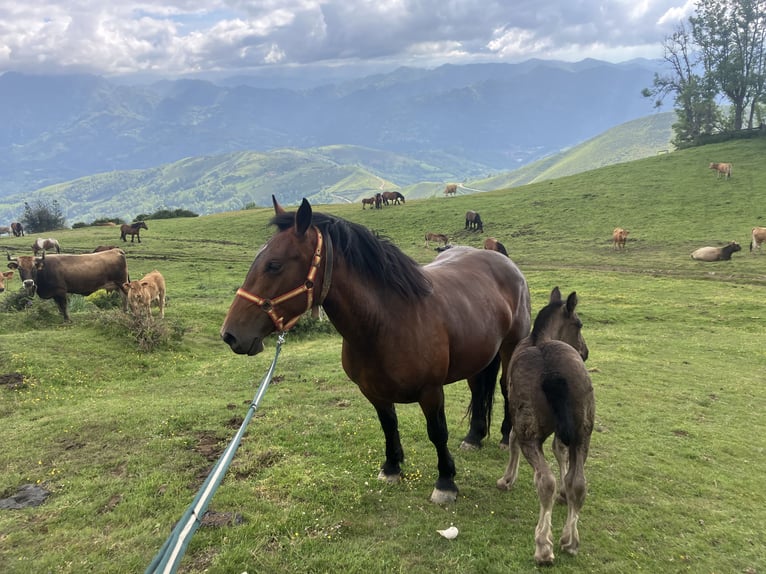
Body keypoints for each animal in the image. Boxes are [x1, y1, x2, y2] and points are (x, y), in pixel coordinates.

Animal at [222, 197, 536, 504]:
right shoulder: (373, 391)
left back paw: (506, 436)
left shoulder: (431, 392)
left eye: (274, 265)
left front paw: (446, 481)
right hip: (477, 357)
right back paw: (474, 436)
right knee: (478, 389)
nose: (230, 335)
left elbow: (437, 432)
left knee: (506, 388)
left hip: (511, 347)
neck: (387, 321)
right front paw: (392, 467)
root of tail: (503, 260)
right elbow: (389, 425)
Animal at [496, 288, 596, 568]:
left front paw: (507, 479)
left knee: (545, 481)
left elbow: (512, 440)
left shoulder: (517, 415)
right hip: (583, 433)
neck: (539, 338)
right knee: (579, 482)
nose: (585, 351)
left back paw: (543, 546)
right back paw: (570, 540)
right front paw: (563, 493)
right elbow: (560, 452)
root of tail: (552, 372)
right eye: (579, 324)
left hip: (530, 431)